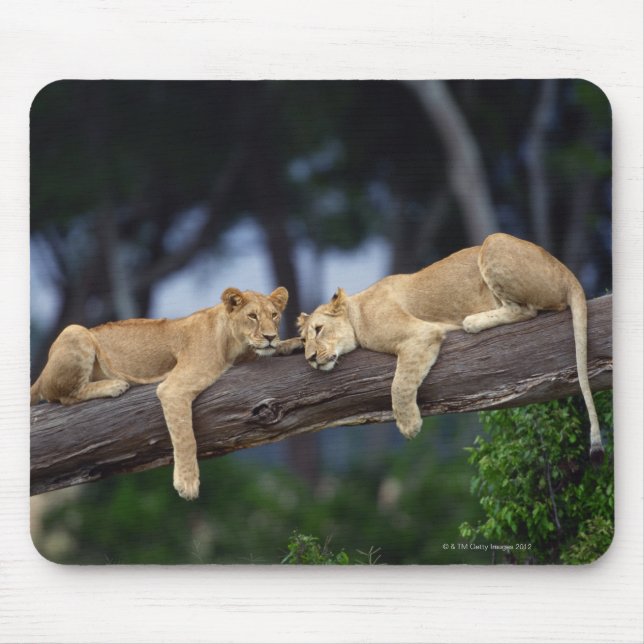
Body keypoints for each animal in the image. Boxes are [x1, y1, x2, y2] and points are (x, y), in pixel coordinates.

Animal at [30, 286, 302, 500]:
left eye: (274, 315)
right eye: (252, 316)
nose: (269, 336)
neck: (233, 344)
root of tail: (41, 374)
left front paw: (293, 343)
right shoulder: (174, 387)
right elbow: (186, 436)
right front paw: (187, 483)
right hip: (75, 331)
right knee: (64, 395)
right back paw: (114, 385)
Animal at [297, 233, 604, 462]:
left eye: (319, 329)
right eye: (303, 340)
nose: (310, 358)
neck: (357, 309)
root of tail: (567, 272)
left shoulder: (420, 335)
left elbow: (399, 384)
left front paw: (409, 425)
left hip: (494, 242)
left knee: (527, 310)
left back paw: (472, 321)